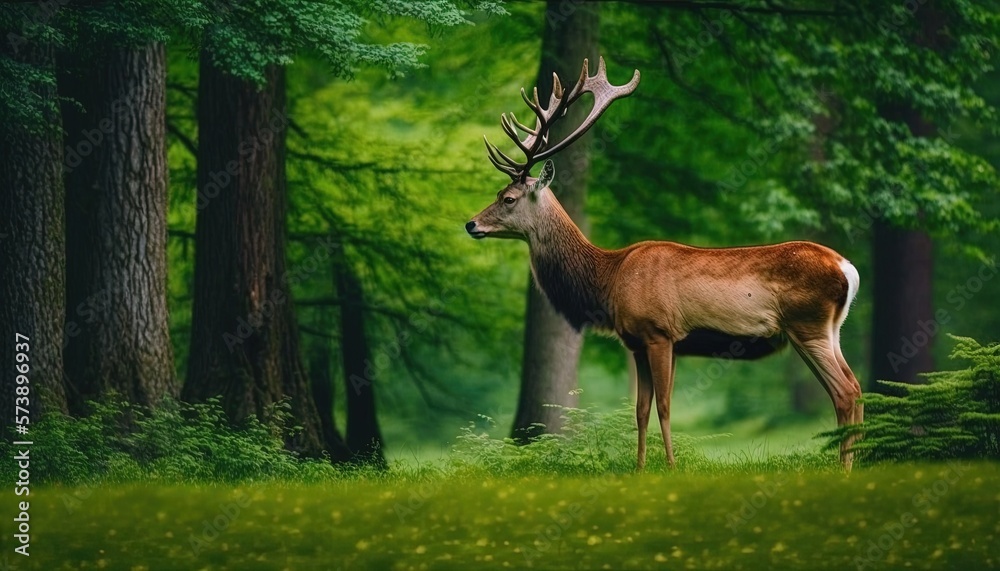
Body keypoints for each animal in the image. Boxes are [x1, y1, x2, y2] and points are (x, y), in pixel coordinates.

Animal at [464, 57, 864, 470]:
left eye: (508, 198)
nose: (471, 224)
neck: (607, 280)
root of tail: (847, 269)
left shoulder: (659, 332)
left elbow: (665, 407)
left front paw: (671, 467)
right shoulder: (637, 342)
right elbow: (640, 410)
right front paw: (639, 468)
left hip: (807, 324)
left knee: (846, 390)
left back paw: (844, 467)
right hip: (828, 329)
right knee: (855, 386)